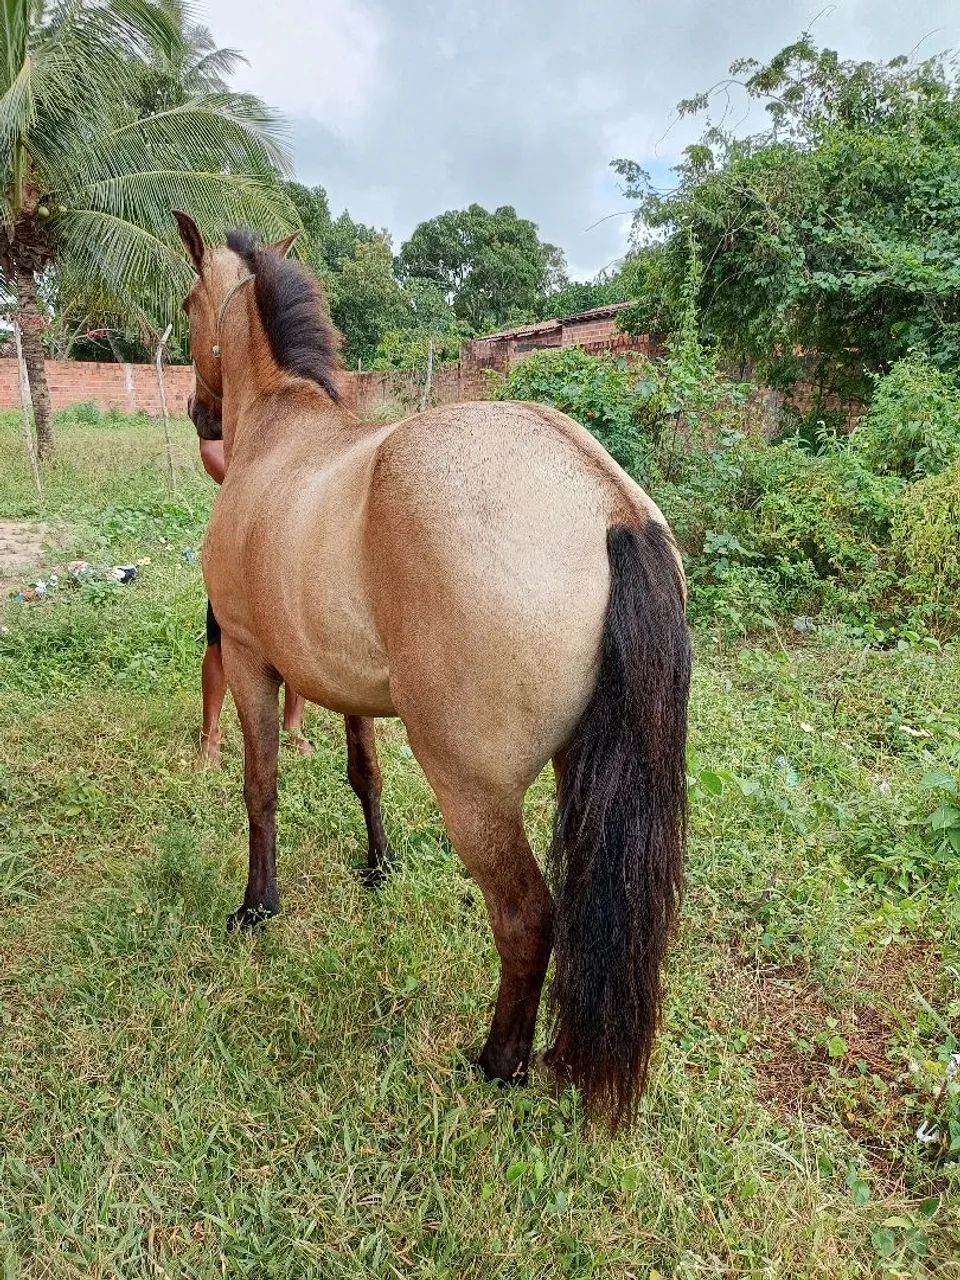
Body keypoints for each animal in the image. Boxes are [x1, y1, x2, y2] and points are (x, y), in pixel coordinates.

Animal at [174, 212, 691, 1128]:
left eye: (186, 305)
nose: (198, 415)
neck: (280, 431)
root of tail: (610, 505)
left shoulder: (247, 659)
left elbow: (260, 787)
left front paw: (257, 907)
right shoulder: (346, 683)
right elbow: (364, 773)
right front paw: (378, 866)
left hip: (472, 789)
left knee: (526, 919)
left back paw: (499, 1062)